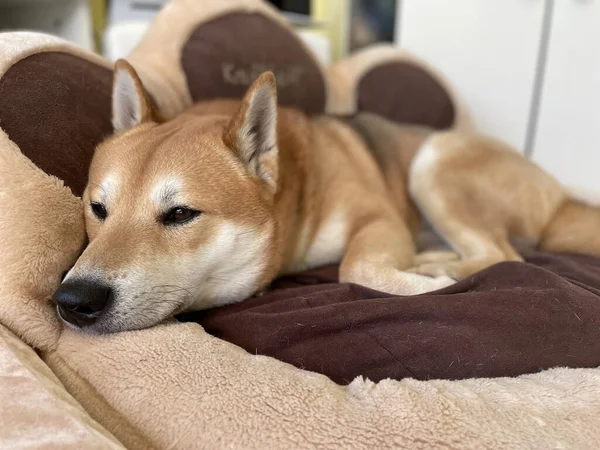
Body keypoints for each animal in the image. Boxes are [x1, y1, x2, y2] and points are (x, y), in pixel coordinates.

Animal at [51, 59, 600, 334]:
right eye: (98, 210)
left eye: (181, 214)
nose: (72, 301)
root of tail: (560, 196)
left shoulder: (380, 220)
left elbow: (355, 267)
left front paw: (429, 287)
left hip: (435, 161)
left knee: (501, 254)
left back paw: (435, 264)